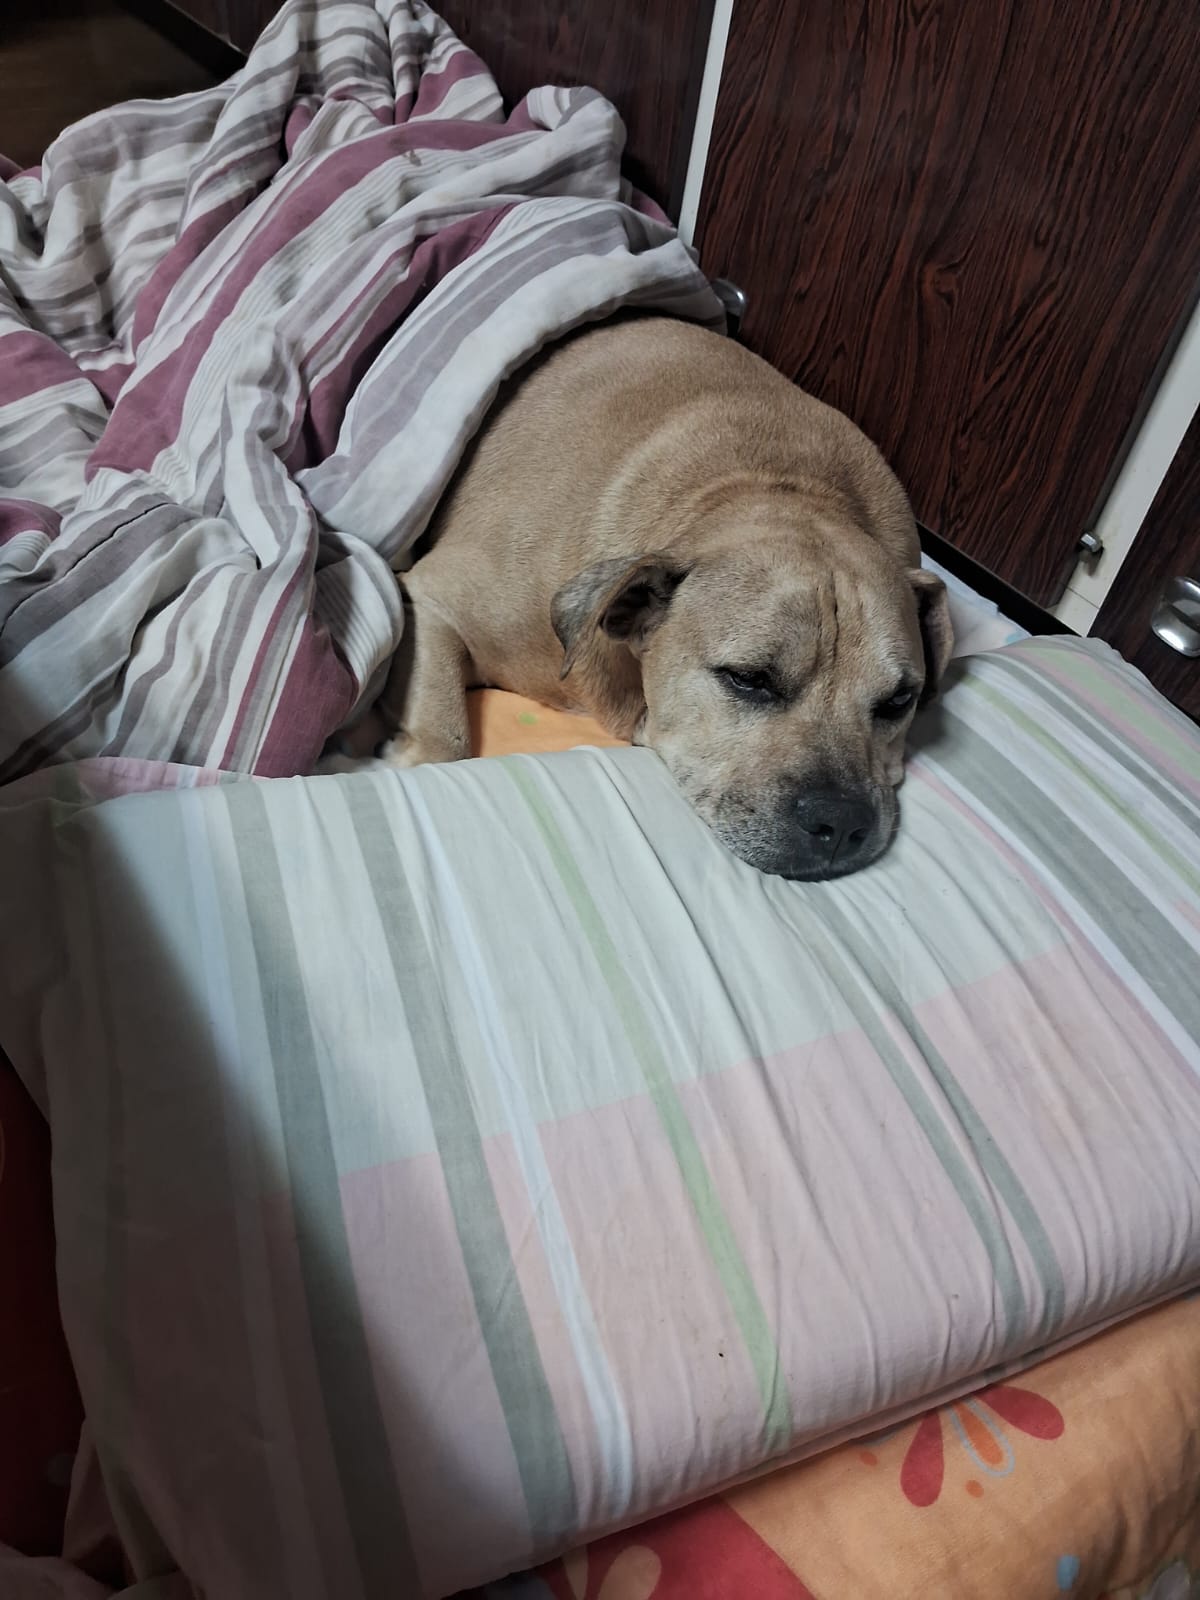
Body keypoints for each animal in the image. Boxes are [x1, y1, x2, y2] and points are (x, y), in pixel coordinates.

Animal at [345, 315, 953, 879]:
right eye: (748, 679)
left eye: (900, 701)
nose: (840, 822)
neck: (778, 485)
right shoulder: (431, 598)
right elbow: (446, 742)